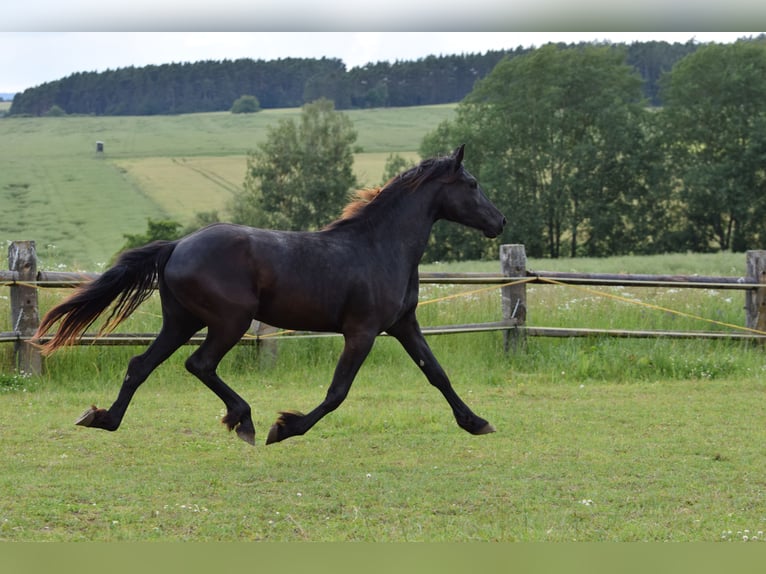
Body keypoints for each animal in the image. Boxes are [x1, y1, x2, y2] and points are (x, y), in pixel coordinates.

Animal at [36, 145, 508, 446]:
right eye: (472, 183)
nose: (500, 221)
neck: (380, 247)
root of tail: (177, 245)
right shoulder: (363, 331)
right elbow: (337, 392)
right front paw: (284, 428)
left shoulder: (403, 324)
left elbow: (437, 374)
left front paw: (477, 422)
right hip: (230, 320)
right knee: (199, 364)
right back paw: (243, 421)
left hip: (181, 320)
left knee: (141, 365)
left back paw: (103, 419)